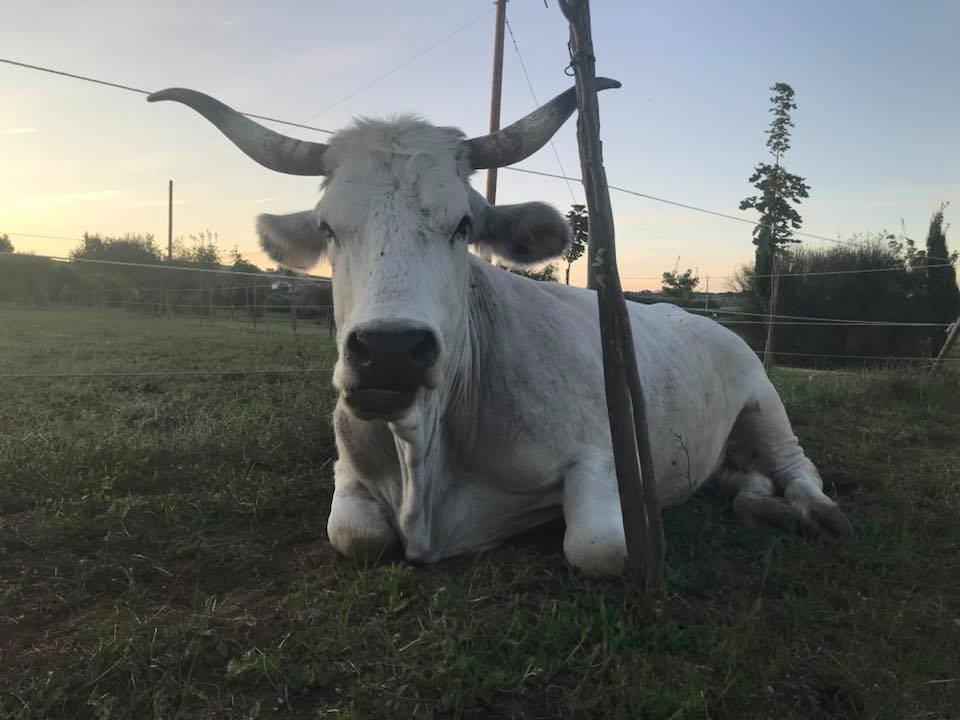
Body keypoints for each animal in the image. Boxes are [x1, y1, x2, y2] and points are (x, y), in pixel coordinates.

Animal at [152, 81, 856, 576]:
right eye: (328, 227)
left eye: (464, 224)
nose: (389, 352)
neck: (424, 457)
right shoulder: (346, 468)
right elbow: (353, 535)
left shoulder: (608, 456)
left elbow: (599, 547)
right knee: (744, 478)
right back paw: (760, 504)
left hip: (764, 398)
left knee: (796, 464)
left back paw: (815, 513)